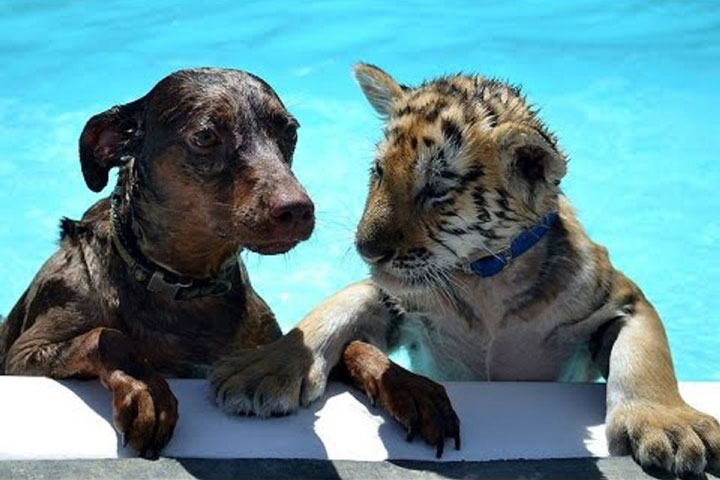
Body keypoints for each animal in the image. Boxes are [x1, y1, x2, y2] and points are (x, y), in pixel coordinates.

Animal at [0, 68, 316, 458]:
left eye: (291, 131)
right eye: (205, 136)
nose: (298, 210)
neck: (183, 284)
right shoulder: (22, 357)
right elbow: (106, 335)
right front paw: (147, 390)